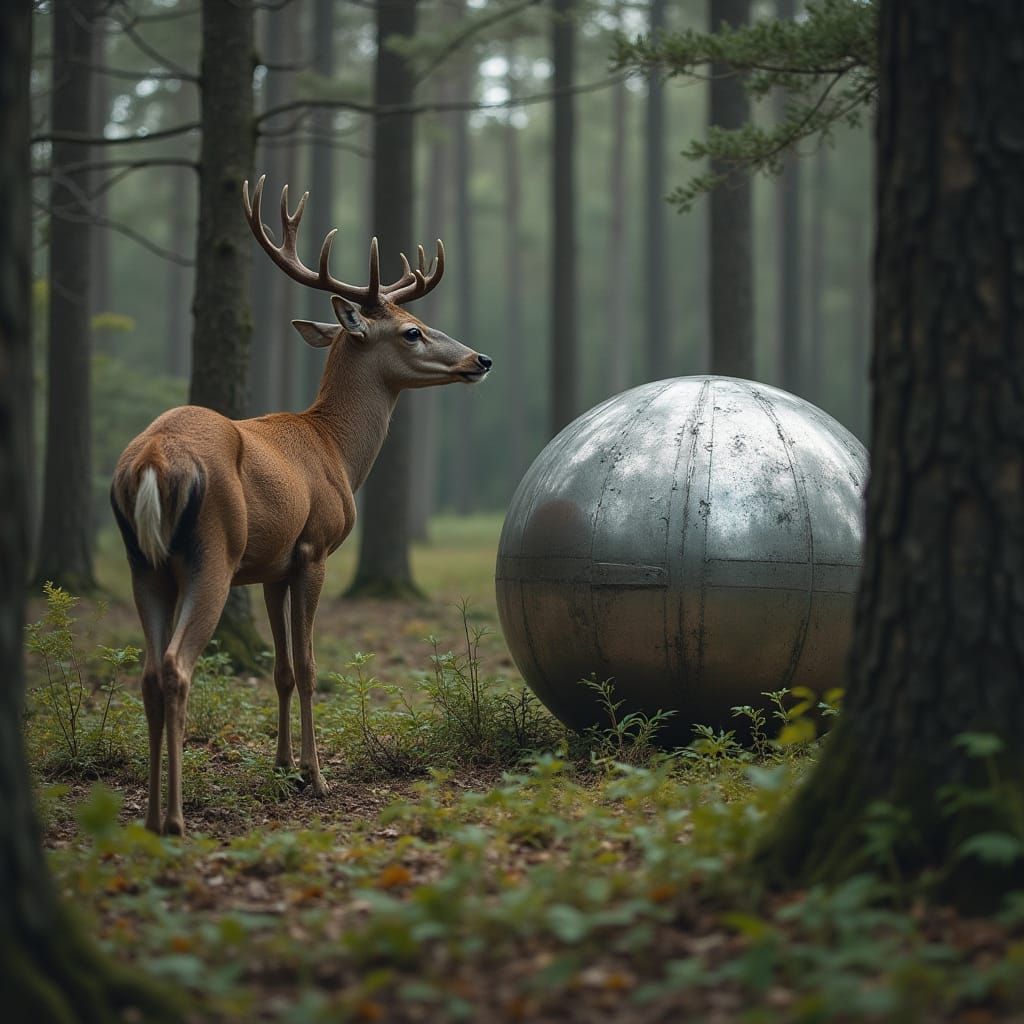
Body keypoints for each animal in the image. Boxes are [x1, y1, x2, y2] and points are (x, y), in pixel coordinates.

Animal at [110, 176, 492, 836]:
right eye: (412, 330)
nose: (480, 360)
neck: (334, 448)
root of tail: (153, 459)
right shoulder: (314, 546)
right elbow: (311, 666)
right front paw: (316, 777)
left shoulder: (272, 564)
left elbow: (282, 669)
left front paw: (283, 765)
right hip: (211, 554)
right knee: (177, 668)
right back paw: (177, 821)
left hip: (144, 563)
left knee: (150, 672)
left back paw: (153, 816)